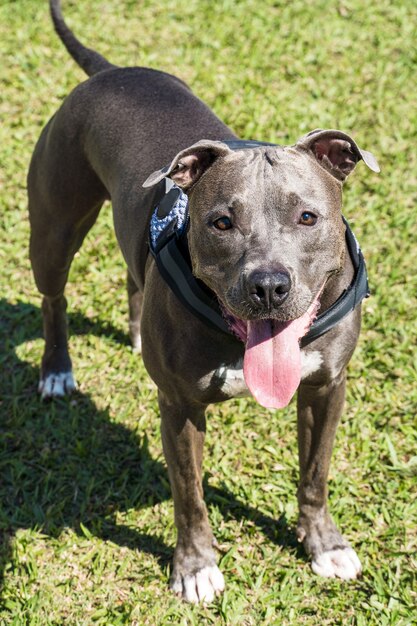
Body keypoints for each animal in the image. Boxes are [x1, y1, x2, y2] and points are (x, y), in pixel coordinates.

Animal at [27, 1, 378, 604]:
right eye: (221, 222)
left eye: (308, 217)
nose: (268, 285)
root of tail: (111, 71)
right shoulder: (180, 407)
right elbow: (189, 496)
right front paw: (195, 567)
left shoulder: (326, 387)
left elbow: (315, 473)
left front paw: (324, 545)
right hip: (53, 229)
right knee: (54, 297)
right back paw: (56, 369)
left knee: (134, 274)